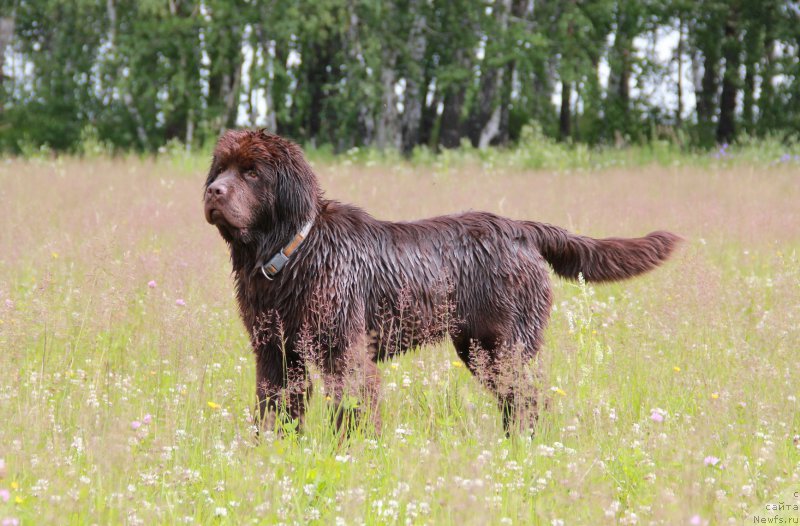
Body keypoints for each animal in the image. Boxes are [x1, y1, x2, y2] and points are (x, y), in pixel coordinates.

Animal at [203, 129, 680, 438]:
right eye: (221, 169)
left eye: (252, 172)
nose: (213, 192)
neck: (293, 251)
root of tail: (521, 229)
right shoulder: (275, 351)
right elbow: (277, 408)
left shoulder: (344, 350)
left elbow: (354, 410)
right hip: (479, 348)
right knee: (516, 400)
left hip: (505, 345)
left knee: (529, 399)